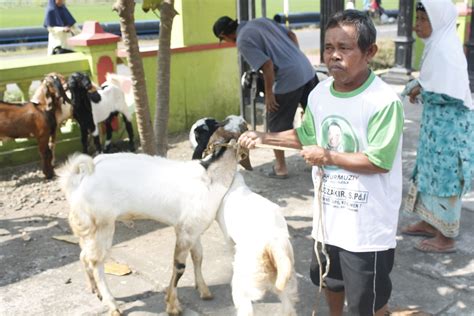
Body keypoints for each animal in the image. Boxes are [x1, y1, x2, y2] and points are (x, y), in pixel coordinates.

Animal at [59, 128, 250, 314]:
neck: (210, 176)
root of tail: (77, 181)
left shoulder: (194, 229)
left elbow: (198, 257)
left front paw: (204, 290)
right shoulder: (185, 231)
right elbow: (180, 266)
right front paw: (172, 305)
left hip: (87, 227)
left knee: (84, 255)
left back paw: (95, 291)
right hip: (101, 226)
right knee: (96, 262)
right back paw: (112, 305)